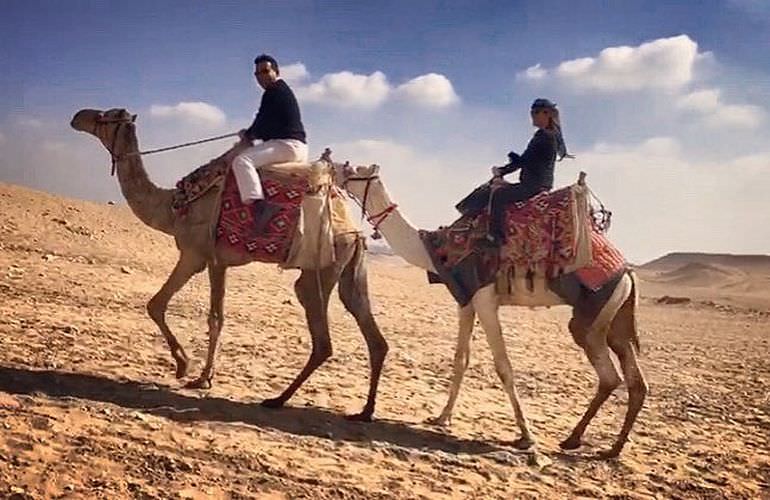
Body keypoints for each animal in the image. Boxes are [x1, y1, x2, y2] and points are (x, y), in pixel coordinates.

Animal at [69, 107, 388, 420]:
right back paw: (365, 411)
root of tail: (354, 232)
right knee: (371, 332)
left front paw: (188, 369)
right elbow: (214, 316)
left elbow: (164, 306)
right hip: (349, 269)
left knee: (323, 341)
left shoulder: (197, 255)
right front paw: (202, 374)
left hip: (318, 269)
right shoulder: (218, 262)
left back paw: (278, 400)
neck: (173, 207)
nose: (77, 117)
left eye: (105, 117)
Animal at [336, 164, 648, 458]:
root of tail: (628, 273)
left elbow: (503, 366)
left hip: (591, 314)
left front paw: (526, 436)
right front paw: (442, 418)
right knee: (635, 379)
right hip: (616, 316)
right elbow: (461, 359)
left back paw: (572, 440)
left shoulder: (486, 299)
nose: (337, 167)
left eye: (356, 171)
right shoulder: (466, 300)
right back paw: (611, 450)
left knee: (610, 376)